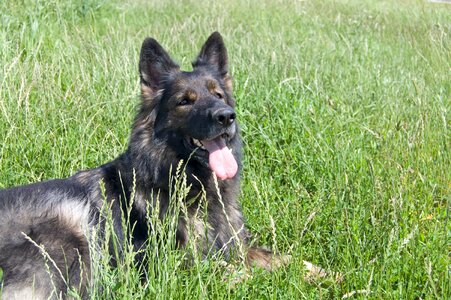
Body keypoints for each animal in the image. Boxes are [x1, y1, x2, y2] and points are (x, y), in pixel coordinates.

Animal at [0, 31, 282, 298]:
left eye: (218, 94)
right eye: (185, 101)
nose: (226, 116)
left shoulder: (232, 244)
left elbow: (268, 255)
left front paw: (289, 265)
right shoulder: (176, 264)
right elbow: (231, 268)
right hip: (74, 229)